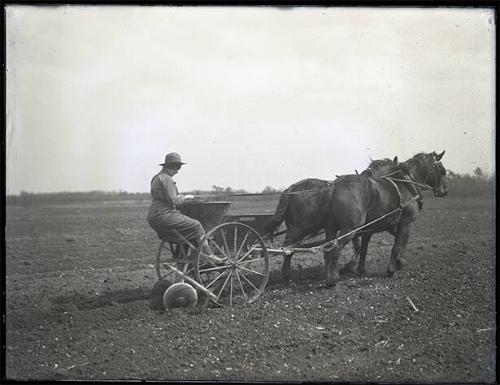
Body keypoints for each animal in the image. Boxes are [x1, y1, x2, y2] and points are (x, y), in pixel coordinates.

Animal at [262, 155, 398, 280]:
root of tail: (292, 188)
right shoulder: (358, 228)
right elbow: (359, 247)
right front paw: (348, 267)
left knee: (289, 247)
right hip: (300, 228)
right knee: (288, 247)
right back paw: (285, 273)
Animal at [324, 150, 450, 284]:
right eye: (442, 170)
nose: (445, 191)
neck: (407, 184)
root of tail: (335, 186)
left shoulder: (377, 228)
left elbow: (365, 249)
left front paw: (361, 269)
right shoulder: (405, 222)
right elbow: (397, 246)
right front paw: (393, 268)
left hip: (331, 227)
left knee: (327, 249)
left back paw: (329, 275)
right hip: (350, 229)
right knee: (336, 249)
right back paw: (334, 278)